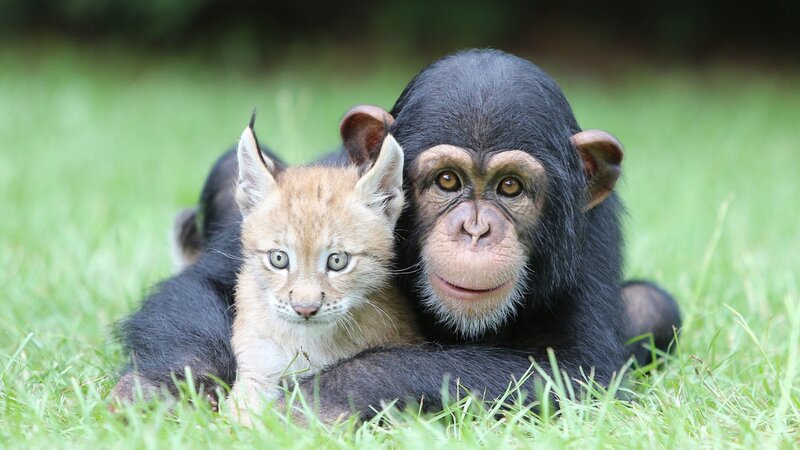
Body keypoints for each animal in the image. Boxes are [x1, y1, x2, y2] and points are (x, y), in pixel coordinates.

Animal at [114, 50, 681, 420]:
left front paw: (318, 400)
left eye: (510, 187)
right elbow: (202, 286)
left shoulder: (588, 247)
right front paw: (162, 388)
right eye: (448, 181)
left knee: (653, 305)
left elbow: (576, 374)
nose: (476, 229)